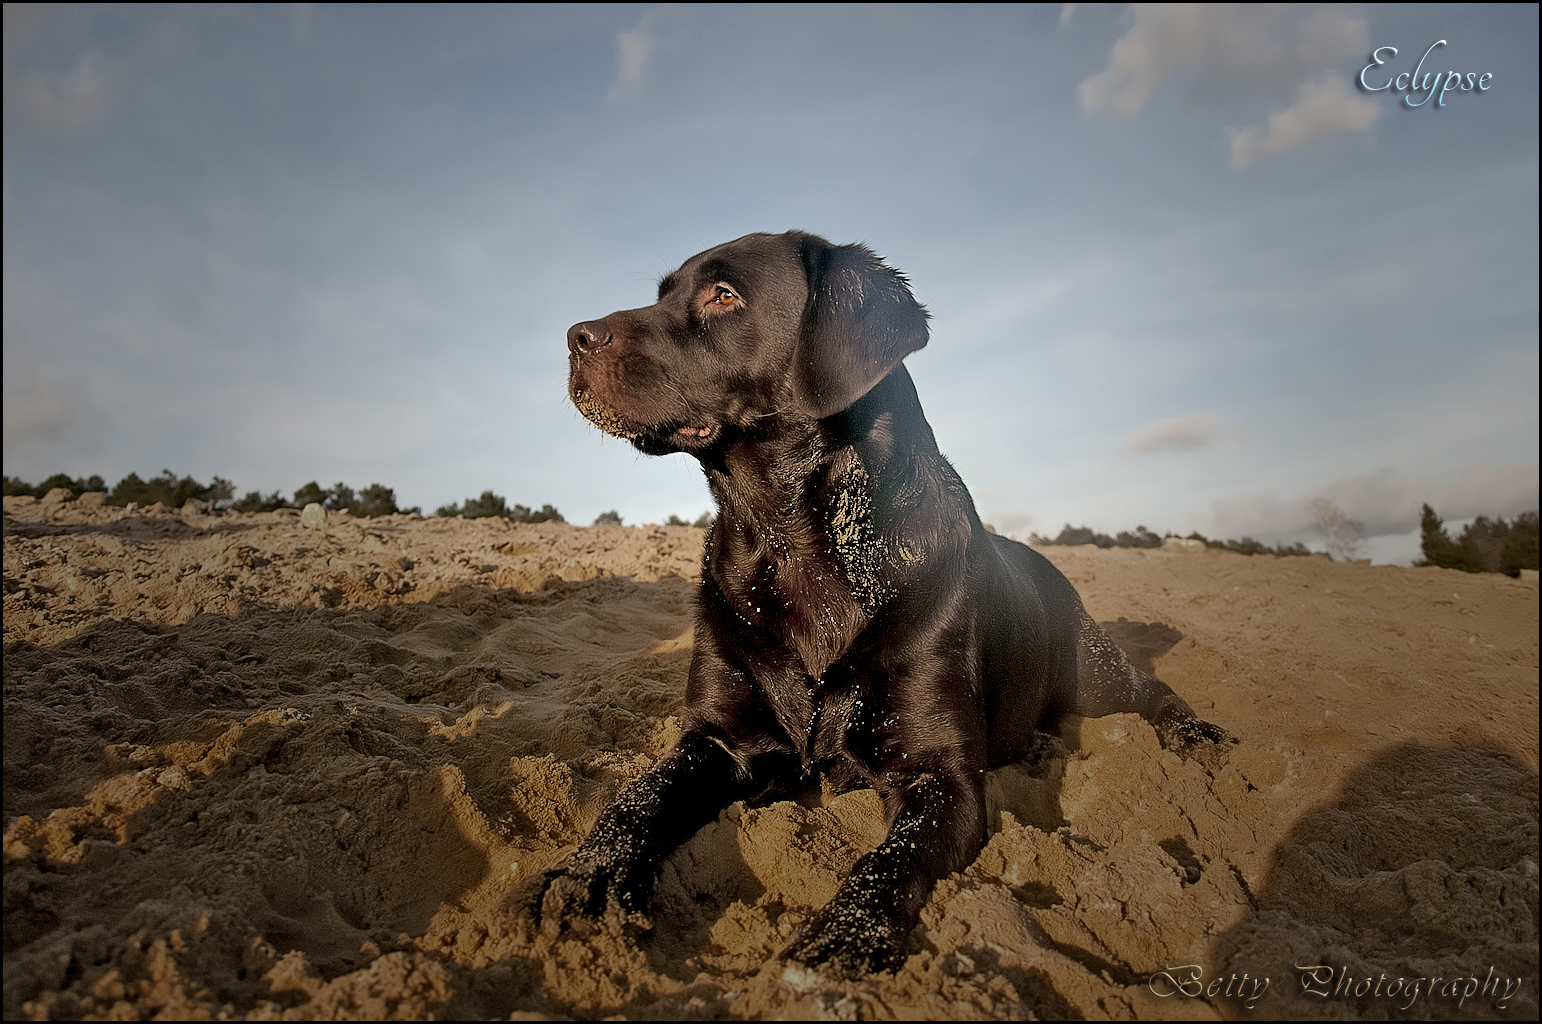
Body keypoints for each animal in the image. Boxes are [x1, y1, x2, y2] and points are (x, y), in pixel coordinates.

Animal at [530, 228, 1227, 974]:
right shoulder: (716, 738)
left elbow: (886, 865)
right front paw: (589, 873)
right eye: (662, 292)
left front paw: (839, 945)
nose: (574, 337)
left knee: (1149, 691)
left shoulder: (940, 777)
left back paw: (1197, 738)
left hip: (1091, 674)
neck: (791, 541)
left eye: (723, 295)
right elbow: (640, 797)